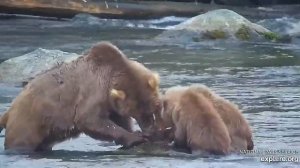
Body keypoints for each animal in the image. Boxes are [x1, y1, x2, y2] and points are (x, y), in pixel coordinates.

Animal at [0, 41, 162, 152]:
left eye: (154, 108)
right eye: (138, 112)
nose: (150, 130)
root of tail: (9, 111)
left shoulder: (112, 104)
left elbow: (120, 119)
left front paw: (134, 132)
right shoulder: (93, 92)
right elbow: (89, 119)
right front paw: (135, 137)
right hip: (29, 123)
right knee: (22, 142)